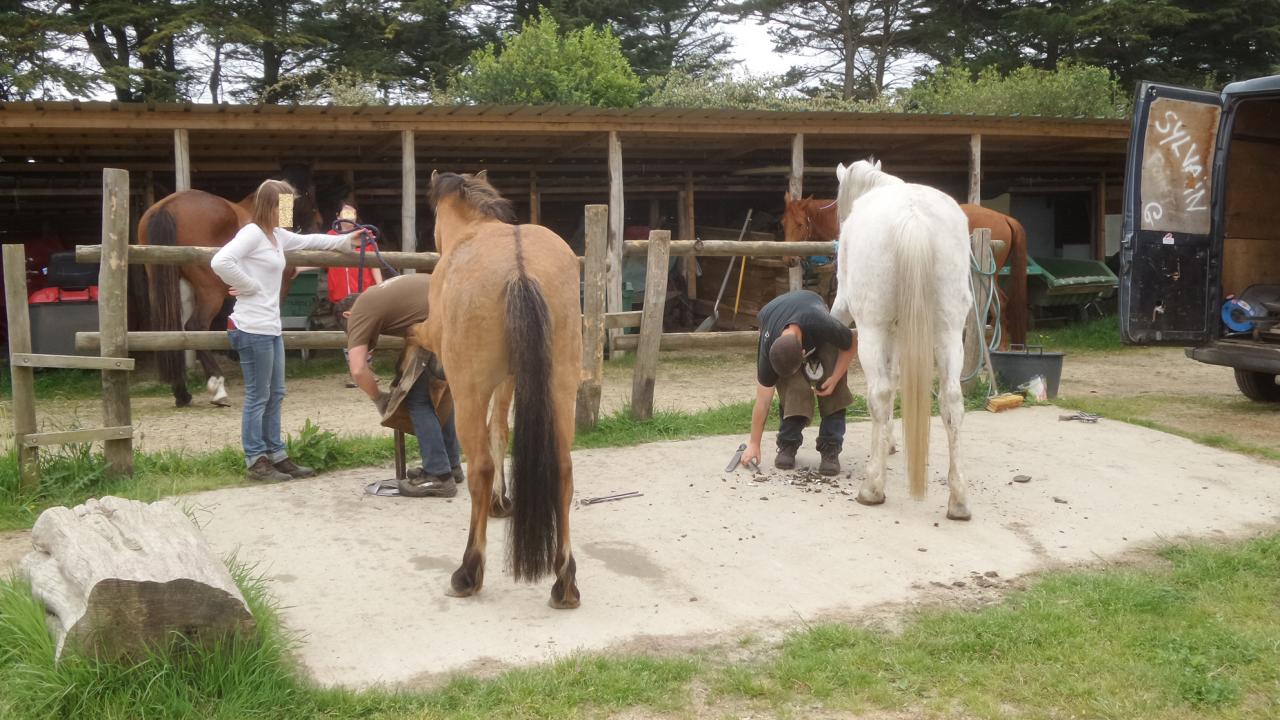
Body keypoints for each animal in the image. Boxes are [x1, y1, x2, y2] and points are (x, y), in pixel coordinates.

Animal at [414, 170, 586, 607]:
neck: (476, 228)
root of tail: (519, 269)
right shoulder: (510, 380)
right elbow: (500, 432)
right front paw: (501, 500)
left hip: (469, 393)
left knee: (479, 467)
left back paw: (468, 572)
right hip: (560, 389)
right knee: (563, 469)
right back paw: (565, 581)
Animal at [829, 159, 967, 517]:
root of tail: (913, 217)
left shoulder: (847, 310)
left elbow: (886, 388)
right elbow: (896, 381)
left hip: (873, 331)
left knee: (878, 393)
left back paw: (872, 488)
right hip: (948, 332)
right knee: (952, 400)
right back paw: (959, 500)